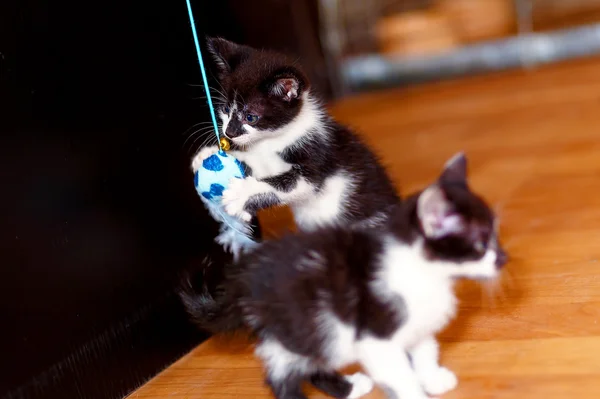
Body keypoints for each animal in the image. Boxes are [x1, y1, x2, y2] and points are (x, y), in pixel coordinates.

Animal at [180, 153, 508, 399]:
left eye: (495, 236)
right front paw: (416, 392)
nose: (504, 259)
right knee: (285, 373)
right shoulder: (376, 335)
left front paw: (433, 378)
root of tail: (244, 277)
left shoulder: (417, 323)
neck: (423, 271)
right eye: (481, 244)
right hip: (312, 322)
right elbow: (399, 375)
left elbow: (425, 349)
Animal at [191, 38, 398, 253]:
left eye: (251, 117)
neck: (274, 138)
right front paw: (208, 155)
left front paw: (241, 195)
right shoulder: (266, 159)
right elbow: (257, 165)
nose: (229, 133)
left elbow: (287, 183)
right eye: (225, 109)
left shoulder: (316, 157)